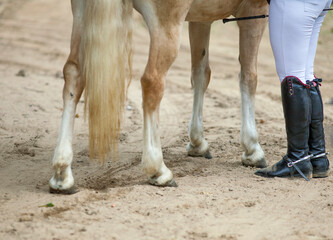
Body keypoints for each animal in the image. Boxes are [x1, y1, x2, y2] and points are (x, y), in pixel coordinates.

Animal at [48, 0, 268, 193]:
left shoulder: (201, 18)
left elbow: (201, 74)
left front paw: (197, 142)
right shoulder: (254, 11)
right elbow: (249, 77)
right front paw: (252, 149)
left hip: (82, 15)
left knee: (74, 74)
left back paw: (62, 173)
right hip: (166, 26)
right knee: (152, 81)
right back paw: (158, 169)